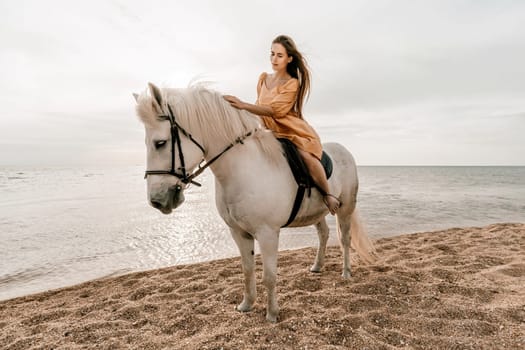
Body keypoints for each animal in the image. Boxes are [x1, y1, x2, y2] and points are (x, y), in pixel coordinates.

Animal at [133, 82, 374, 322]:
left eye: (160, 143)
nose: (157, 200)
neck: (243, 169)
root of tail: (344, 150)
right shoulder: (238, 233)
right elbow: (247, 270)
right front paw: (246, 304)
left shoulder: (268, 233)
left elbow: (269, 276)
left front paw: (272, 314)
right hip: (316, 213)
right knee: (323, 234)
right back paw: (317, 266)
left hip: (345, 209)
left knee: (345, 239)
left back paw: (346, 273)